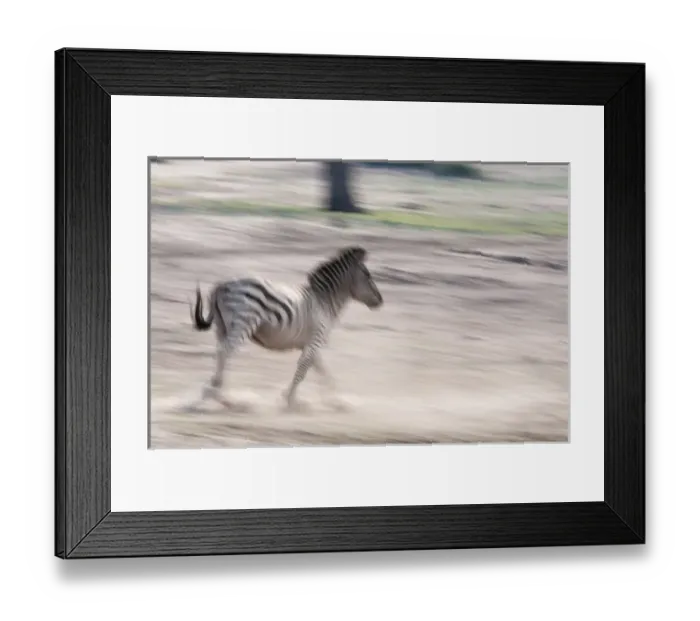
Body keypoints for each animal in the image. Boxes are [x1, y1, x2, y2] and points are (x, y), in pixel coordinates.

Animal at [189, 245, 384, 411]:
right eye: (367, 275)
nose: (380, 301)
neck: (324, 302)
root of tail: (221, 286)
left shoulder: (310, 343)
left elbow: (323, 371)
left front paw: (337, 402)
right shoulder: (316, 340)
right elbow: (303, 370)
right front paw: (291, 401)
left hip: (222, 327)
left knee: (221, 354)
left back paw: (219, 394)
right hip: (243, 323)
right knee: (225, 353)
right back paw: (220, 396)